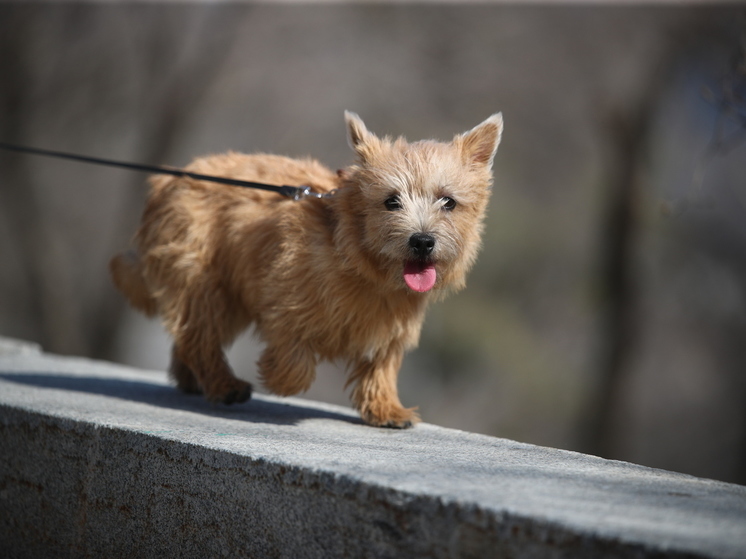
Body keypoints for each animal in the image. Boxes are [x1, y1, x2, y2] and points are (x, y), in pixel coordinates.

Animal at [110, 112, 502, 428]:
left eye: (448, 202)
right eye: (391, 201)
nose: (422, 241)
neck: (363, 265)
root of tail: (167, 181)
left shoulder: (390, 327)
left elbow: (382, 366)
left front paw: (386, 409)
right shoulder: (284, 297)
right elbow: (295, 358)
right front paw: (278, 378)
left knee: (191, 334)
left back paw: (192, 379)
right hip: (203, 282)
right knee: (200, 333)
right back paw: (223, 385)